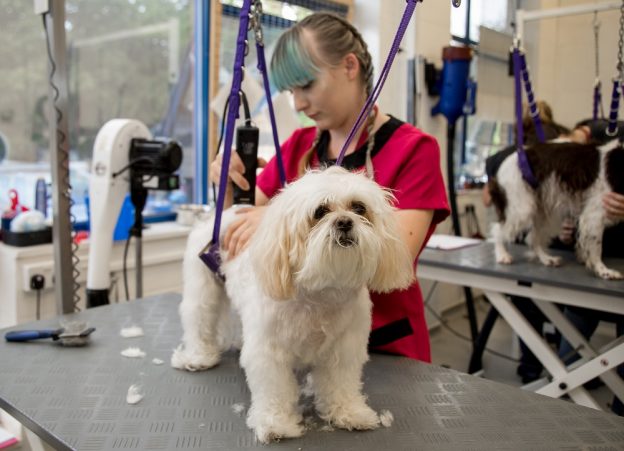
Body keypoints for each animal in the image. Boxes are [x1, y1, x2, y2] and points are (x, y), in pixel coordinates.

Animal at [171, 167, 414, 444]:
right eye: (320, 211)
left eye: (359, 208)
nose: (344, 222)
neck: (321, 293)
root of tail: (231, 210)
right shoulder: (269, 351)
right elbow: (275, 389)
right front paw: (275, 423)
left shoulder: (345, 348)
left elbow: (341, 383)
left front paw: (349, 412)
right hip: (202, 288)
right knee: (199, 318)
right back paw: (197, 357)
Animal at [490, 139, 624, 278]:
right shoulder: (595, 214)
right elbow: (596, 247)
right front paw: (603, 271)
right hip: (522, 208)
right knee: (497, 229)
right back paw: (502, 255)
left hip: (543, 213)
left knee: (533, 238)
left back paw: (547, 259)